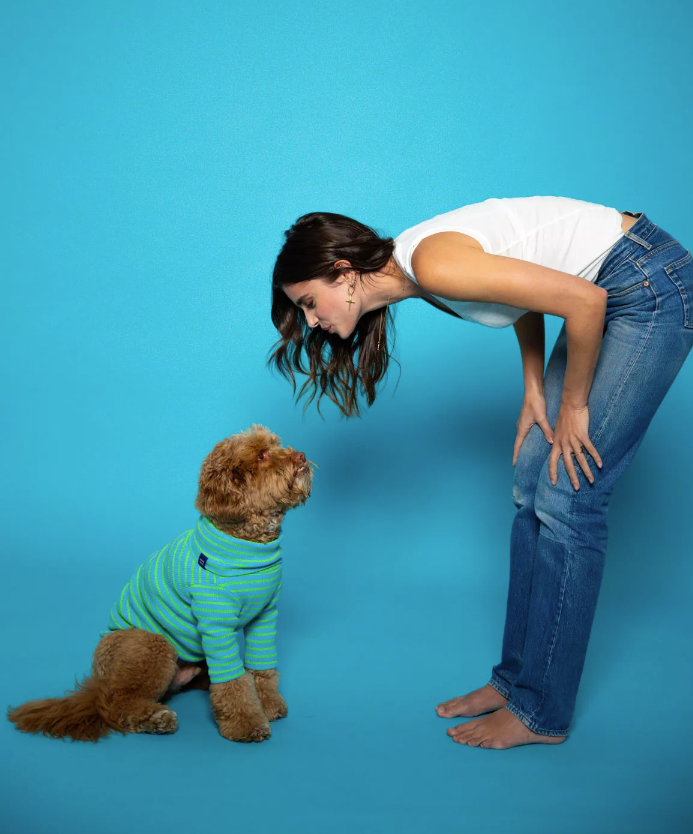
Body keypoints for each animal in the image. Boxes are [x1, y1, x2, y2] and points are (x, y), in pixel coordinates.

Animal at [5, 426, 312, 744]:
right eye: (261, 455)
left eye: (276, 445)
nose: (301, 455)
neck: (248, 543)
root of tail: (98, 683)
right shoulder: (215, 623)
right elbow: (232, 682)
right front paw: (246, 723)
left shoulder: (265, 616)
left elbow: (262, 668)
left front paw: (269, 704)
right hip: (153, 645)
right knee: (115, 704)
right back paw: (155, 719)